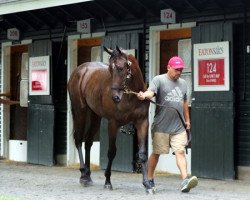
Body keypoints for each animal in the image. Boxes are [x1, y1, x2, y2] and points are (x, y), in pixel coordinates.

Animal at [67, 45, 152, 194]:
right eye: (110, 70)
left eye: (120, 68)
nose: (115, 97)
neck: (132, 96)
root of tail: (79, 71)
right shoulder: (113, 124)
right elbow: (111, 152)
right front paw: (107, 181)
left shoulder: (142, 122)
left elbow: (142, 154)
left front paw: (147, 184)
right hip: (80, 111)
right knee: (78, 140)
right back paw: (83, 174)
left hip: (95, 115)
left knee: (88, 142)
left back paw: (88, 175)